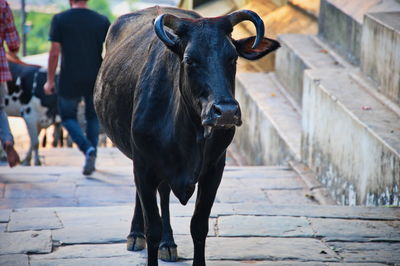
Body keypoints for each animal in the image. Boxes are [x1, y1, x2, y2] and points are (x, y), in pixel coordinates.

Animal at [95, 6, 280, 266]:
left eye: (233, 58)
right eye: (190, 60)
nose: (226, 112)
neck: (188, 137)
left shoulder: (214, 169)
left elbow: (199, 226)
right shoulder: (144, 165)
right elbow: (152, 226)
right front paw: (146, 235)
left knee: (163, 194)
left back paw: (168, 244)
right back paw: (135, 235)